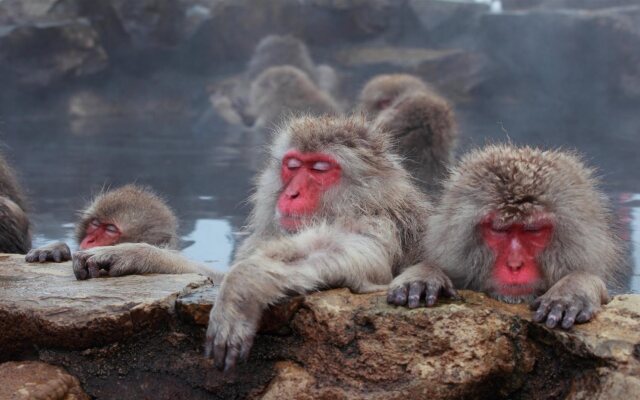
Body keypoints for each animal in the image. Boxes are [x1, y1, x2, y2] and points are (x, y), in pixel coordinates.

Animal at [71, 115, 456, 372]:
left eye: (320, 168)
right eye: (293, 165)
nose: (291, 193)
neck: (362, 201)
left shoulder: (378, 224)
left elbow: (352, 255)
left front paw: (241, 290)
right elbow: (213, 277)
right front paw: (132, 253)